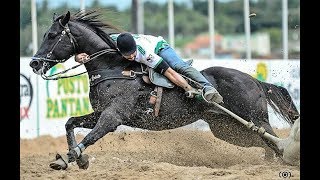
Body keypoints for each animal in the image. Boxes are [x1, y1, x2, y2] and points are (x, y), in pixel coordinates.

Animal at [29, 10, 300, 170]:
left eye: (52, 35)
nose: (34, 63)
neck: (114, 68)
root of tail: (255, 81)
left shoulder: (112, 117)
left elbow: (91, 136)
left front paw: (67, 159)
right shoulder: (99, 113)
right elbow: (70, 123)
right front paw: (80, 159)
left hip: (255, 119)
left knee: (273, 141)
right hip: (226, 128)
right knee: (264, 143)